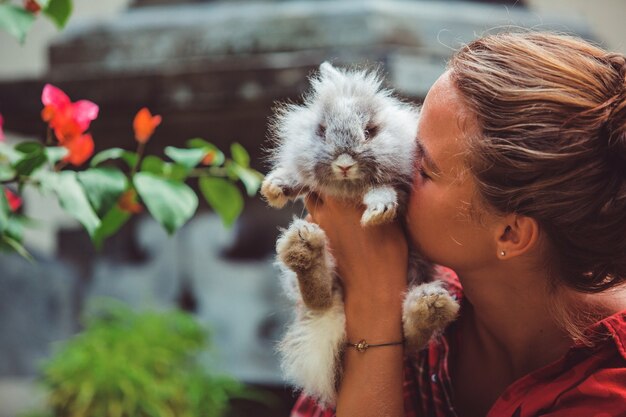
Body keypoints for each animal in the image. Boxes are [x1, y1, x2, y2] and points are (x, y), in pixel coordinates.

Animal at [260, 62, 458, 406]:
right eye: (321, 130)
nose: (344, 163)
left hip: (416, 271)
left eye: (370, 132)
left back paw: (429, 308)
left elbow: (384, 190)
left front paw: (379, 211)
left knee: (410, 339)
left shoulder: (403, 190)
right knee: (318, 297)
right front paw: (274, 187)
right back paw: (303, 250)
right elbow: (299, 177)